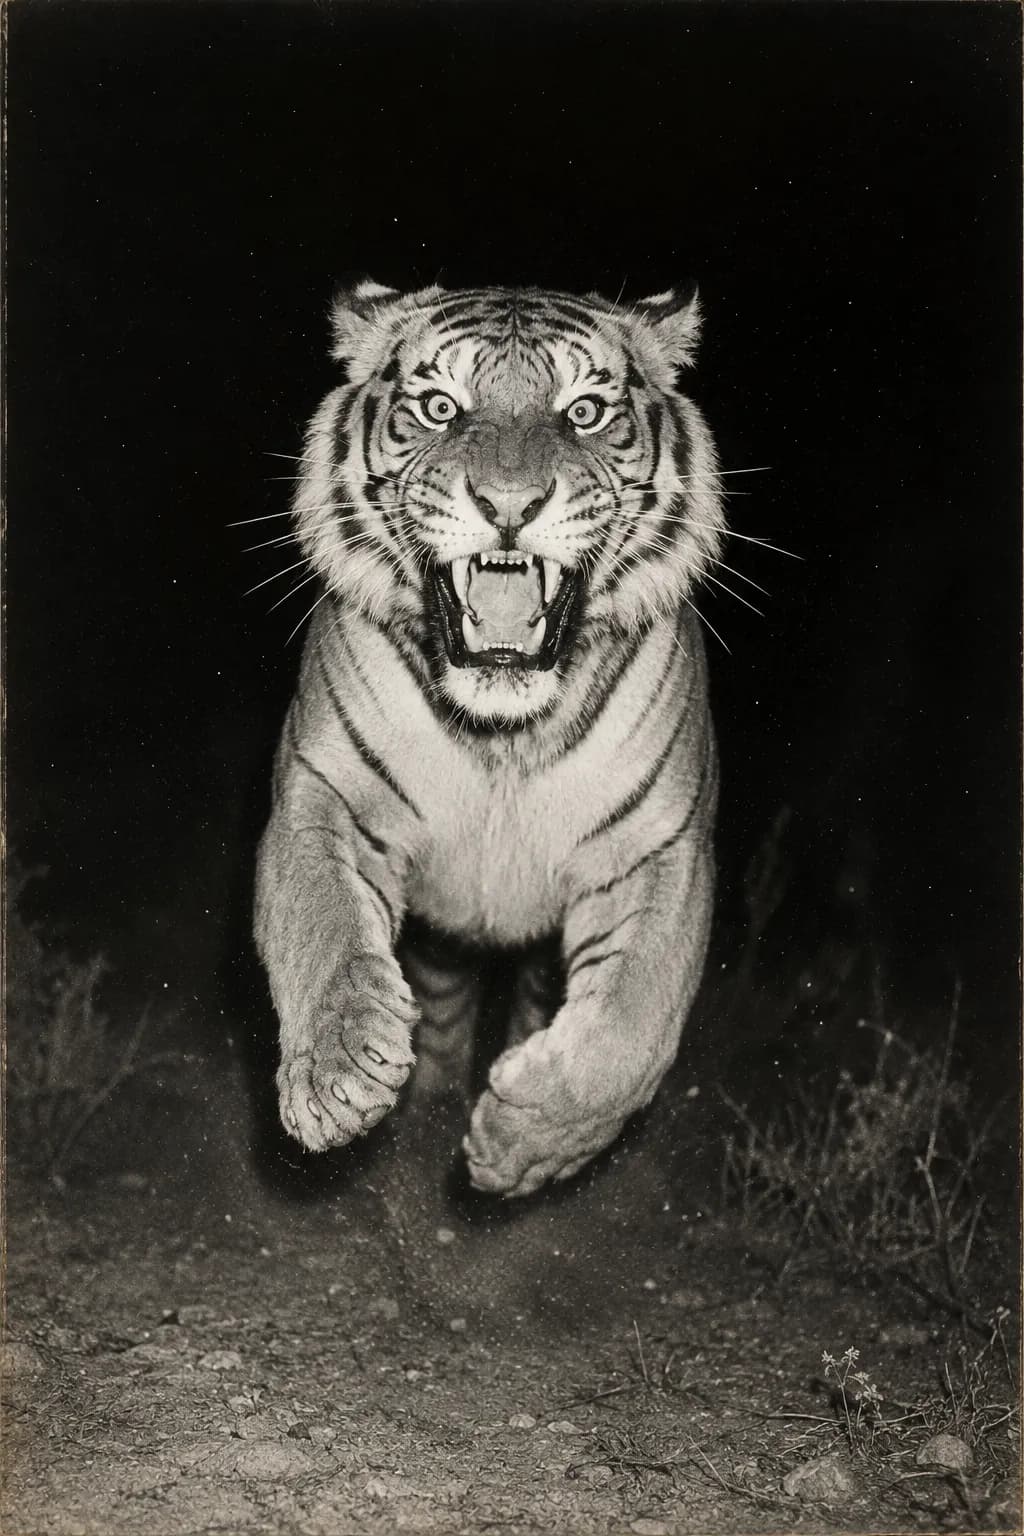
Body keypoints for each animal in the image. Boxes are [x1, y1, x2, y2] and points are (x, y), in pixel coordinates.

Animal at [254, 280, 724, 1198]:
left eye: (584, 412)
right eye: (440, 407)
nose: (509, 507)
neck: (504, 735)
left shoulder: (661, 851)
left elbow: (633, 1024)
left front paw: (525, 1140)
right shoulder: (323, 789)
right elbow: (319, 919)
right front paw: (339, 1075)